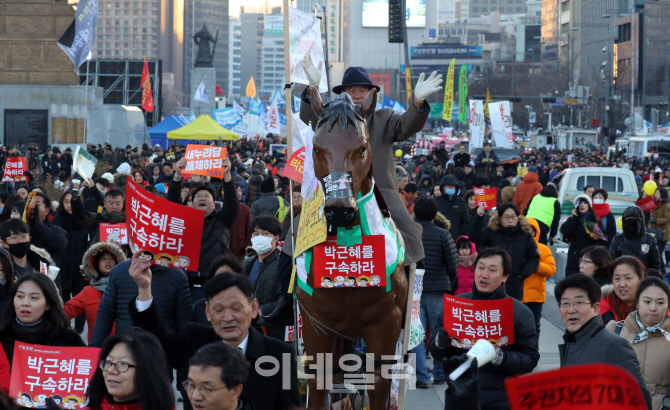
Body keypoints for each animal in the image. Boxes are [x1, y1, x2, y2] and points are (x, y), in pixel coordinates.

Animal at [298, 87, 410, 410]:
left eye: (361, 148)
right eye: (316, 148)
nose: (339, 211)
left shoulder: (385, 327)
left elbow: (378, 387)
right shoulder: (317, 326)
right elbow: (320, 389)